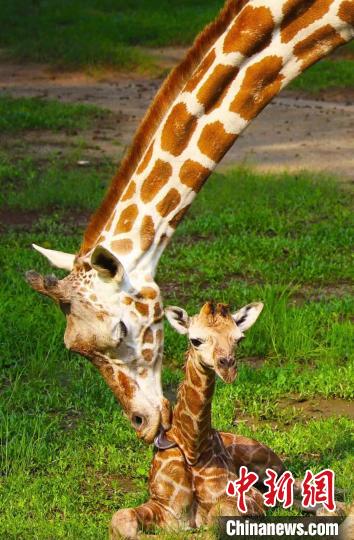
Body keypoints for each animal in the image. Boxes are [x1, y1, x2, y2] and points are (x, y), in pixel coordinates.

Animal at [110, 302, 282, 536]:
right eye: (195, 340)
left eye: (239, 339)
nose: (227, 367)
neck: (192, 449)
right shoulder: (167, 509)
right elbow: (121, 517)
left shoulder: (247, 497)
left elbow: (217, 518)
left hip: (272, 465)